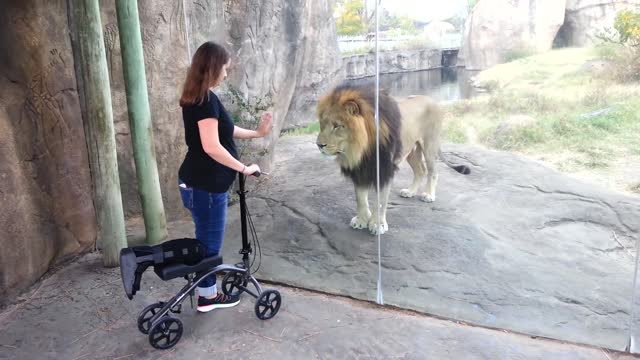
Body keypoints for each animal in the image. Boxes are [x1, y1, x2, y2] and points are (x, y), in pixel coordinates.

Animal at [316, 83, 470, 238]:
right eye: (322, 123)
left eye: (337, 125)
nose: (319, 145)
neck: (360, 149)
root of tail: (432, 100)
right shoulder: (360, 170)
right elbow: (360, 198)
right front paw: (361, 220)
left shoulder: (385, 170)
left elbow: (381, 201)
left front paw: (378, 224)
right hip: (410, 151)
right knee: (420, 171)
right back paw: (410, 192)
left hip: (429, 146)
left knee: (433, 172)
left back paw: (428, 195)